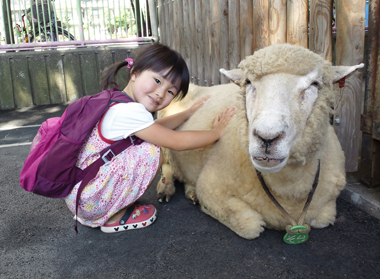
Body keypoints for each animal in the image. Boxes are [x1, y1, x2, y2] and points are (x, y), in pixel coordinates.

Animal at [156, 44, 364, 241]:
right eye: (248, 82)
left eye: (314, 83)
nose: (267, 137)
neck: (290, 194)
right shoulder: (211, 187)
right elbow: (251, 226)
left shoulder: (327, 205)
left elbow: (323, 219)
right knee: (167, 165)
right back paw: (165, 187)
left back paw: (191, 192)